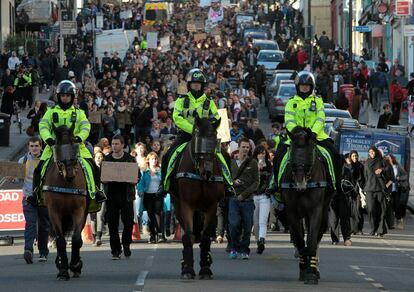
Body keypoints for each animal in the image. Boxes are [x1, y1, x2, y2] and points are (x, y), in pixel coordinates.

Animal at [42, 125, 89, 280]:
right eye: (57, 146)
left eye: (74, 142)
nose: (70, 174)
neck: (65, 183)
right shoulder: (54, 211)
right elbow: (60, 240)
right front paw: (63, 269)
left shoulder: (79, 210)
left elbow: (76, 239)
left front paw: (75, 265)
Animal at [170, 115, 225, 280]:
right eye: (197, 138)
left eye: (214, 139)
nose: (206, 171)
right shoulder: (186, 204)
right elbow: (188, 235)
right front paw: (188, 269)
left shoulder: (212, 205)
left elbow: (206, 236)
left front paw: (205, 268)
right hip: (177, 205)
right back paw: (184, 262)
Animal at [280, 126, 332, 284]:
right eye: (292, 154)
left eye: (310, 153)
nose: (300, 185)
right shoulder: (291, 211)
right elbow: (299, 239)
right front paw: (304, 266)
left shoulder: (316, 211)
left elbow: (312, 240)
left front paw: (310, 272)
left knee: (317, 236)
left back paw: (314, 268)